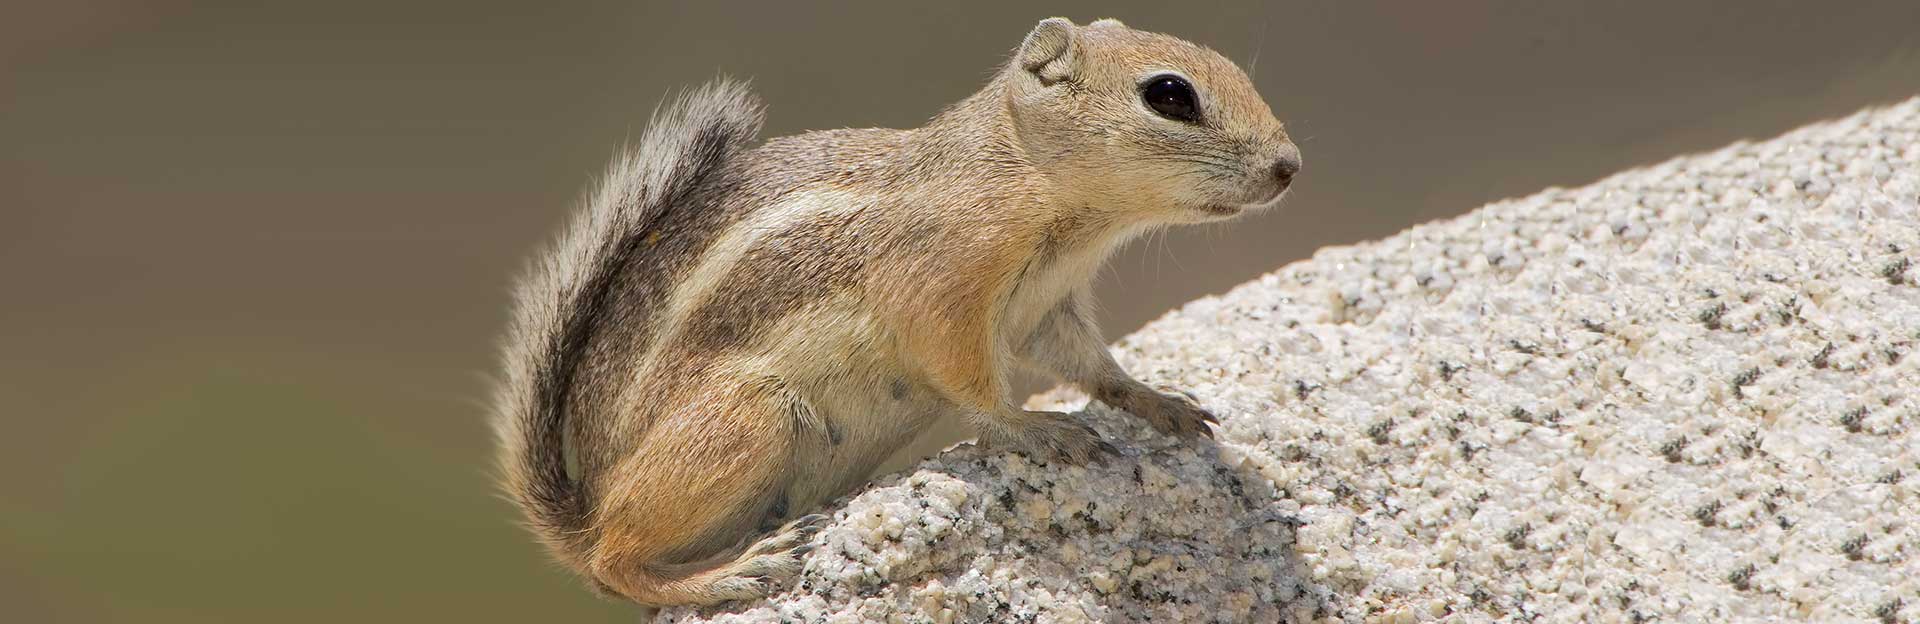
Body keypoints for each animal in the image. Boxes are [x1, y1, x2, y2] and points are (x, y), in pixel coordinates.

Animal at [493, 17, 1300, 607]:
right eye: (1170, 95)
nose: (1289, 166)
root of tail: (584, 508)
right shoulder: (941, 291)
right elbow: (968, 376)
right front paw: (1037, 428)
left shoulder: (1050, 308)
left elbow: (1090, 365)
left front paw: (1159, 402)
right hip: (747, 418)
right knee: (614, 562)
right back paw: (729, 572)